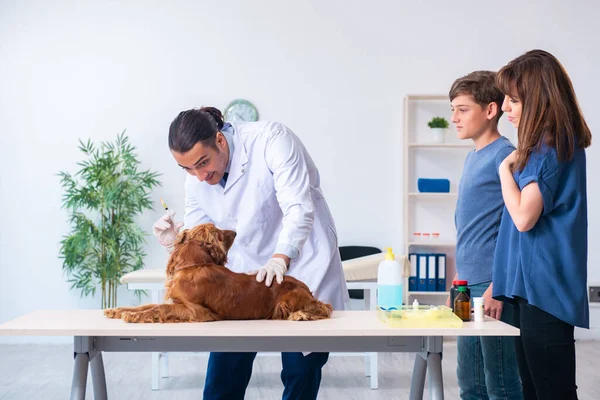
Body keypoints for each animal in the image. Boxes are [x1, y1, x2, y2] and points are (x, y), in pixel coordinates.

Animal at [105, 223, 336, 324]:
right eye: (220, 233)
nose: (235, 231)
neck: (193, 266)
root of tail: (308, 289)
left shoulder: (197, 311)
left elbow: (160, 308)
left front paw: (133, 316)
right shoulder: (178, 302)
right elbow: (147, 305)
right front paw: (119, 310)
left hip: (287, 300)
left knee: (324, 308)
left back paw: (301, 315)